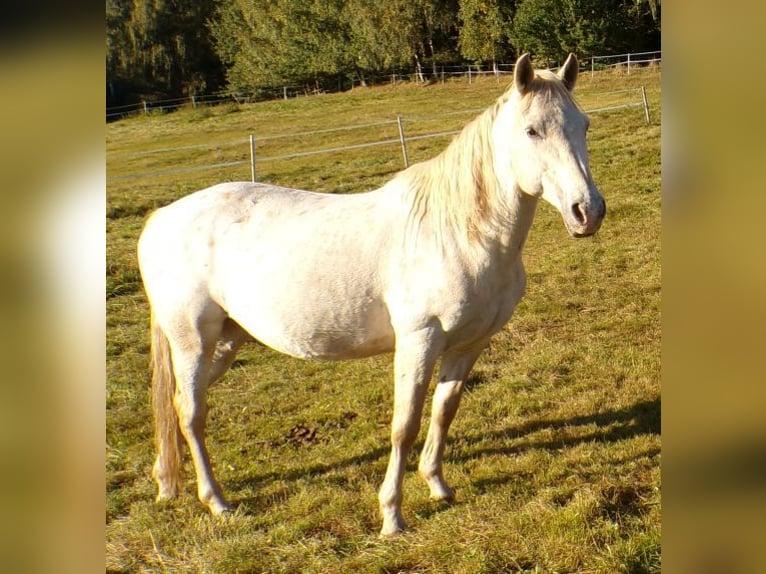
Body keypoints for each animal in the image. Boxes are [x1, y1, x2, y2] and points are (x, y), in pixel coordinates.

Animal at [137, 53, 605, 537]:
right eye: (532, 131)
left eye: (584, 125)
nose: (587, 212)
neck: (459, 230)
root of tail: (161, 218)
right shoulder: (419, 340)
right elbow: (405, 424)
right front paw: (392, 515)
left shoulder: (469, 344)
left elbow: (445, 410)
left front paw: (438, 485)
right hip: (192, 340)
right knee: (191, 412)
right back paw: (216, 501)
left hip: (227, 341)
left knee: (178, 405)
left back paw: (167, 482)